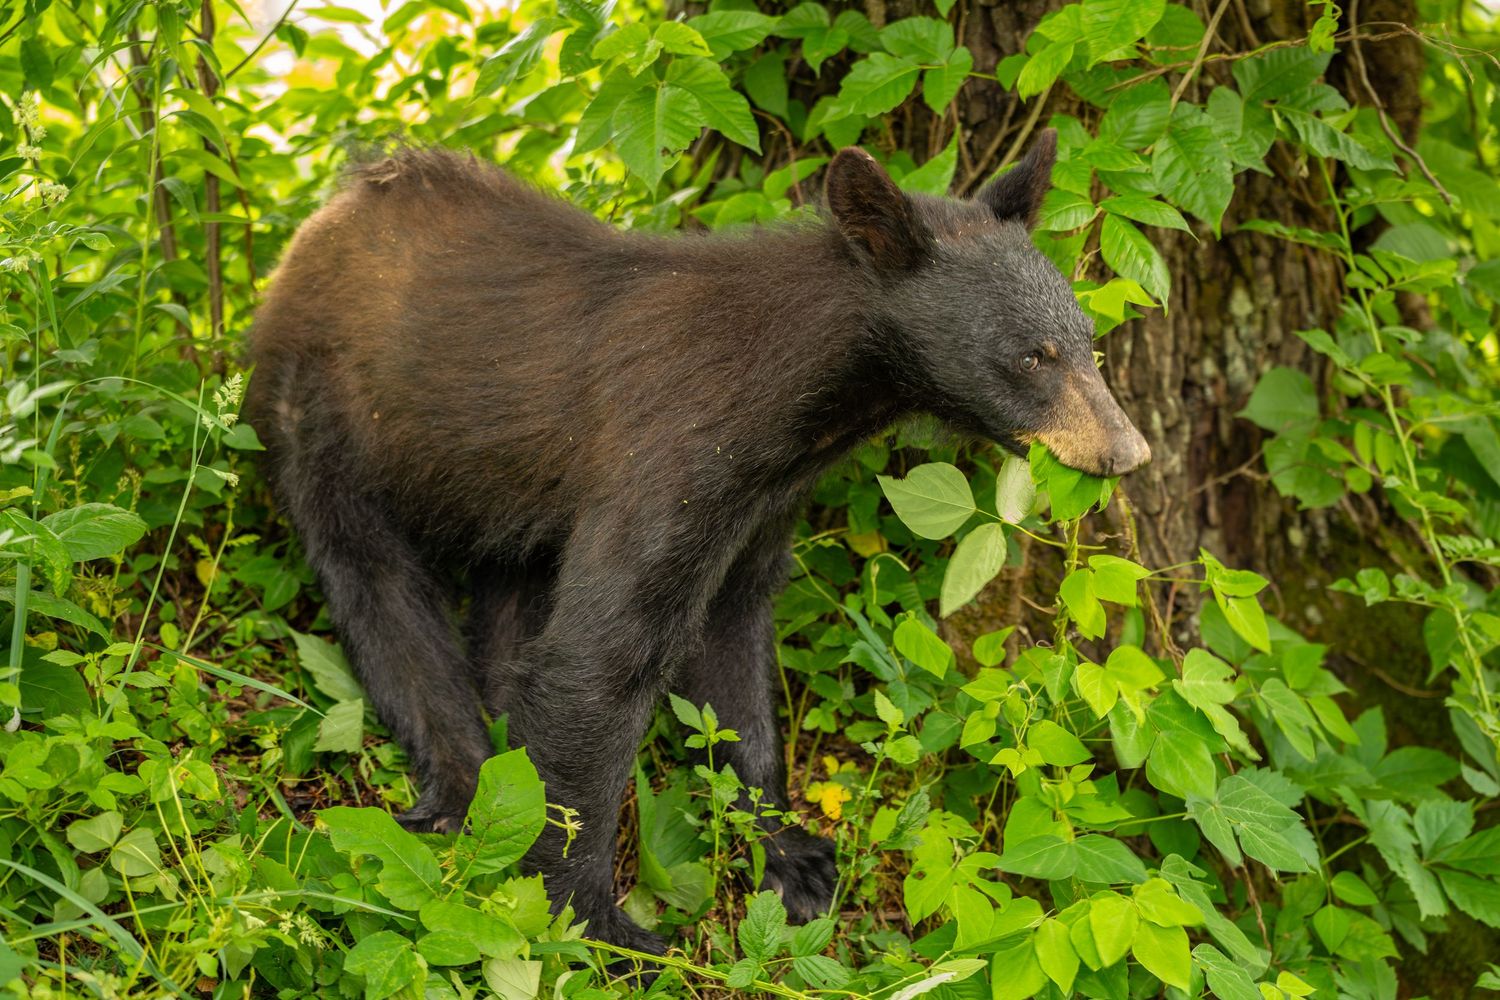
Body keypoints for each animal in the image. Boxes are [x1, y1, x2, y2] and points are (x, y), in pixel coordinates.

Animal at [245, 130, 1149, 954]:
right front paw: (597, 924)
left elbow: (731, 657)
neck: (792, 402)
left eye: (1089, 340)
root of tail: (321, 219)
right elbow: (601, 661)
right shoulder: (669, 457)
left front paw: (792, 860)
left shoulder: (760, 500)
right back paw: (461, 782)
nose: (1127, 452)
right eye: (1032, 355)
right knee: (375, 584)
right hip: (323, 411)